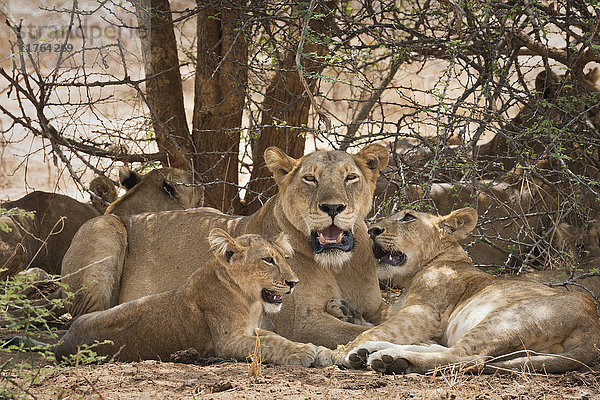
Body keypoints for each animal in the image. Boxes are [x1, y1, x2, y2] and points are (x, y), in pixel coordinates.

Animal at [53, 228, 328, 366]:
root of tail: (62, 342)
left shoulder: (251, 330)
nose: (294, 283)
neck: (249, 300)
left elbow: (277, 338)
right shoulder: (227, 342)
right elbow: (269, 345)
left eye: (284, 258)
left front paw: (318, 350)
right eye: (268, 260)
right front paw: (303, 353)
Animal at [330, 208, 600, 374]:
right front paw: (342, 310)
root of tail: (593, 328)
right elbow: (377, 319)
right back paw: (377, 351)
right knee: (449, 349)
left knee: (465, 357)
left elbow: (377, 328)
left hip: (506, 318)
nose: (372, 230)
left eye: (408, 217)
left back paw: (389, 359)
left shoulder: (425, 313)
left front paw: (339, 352)